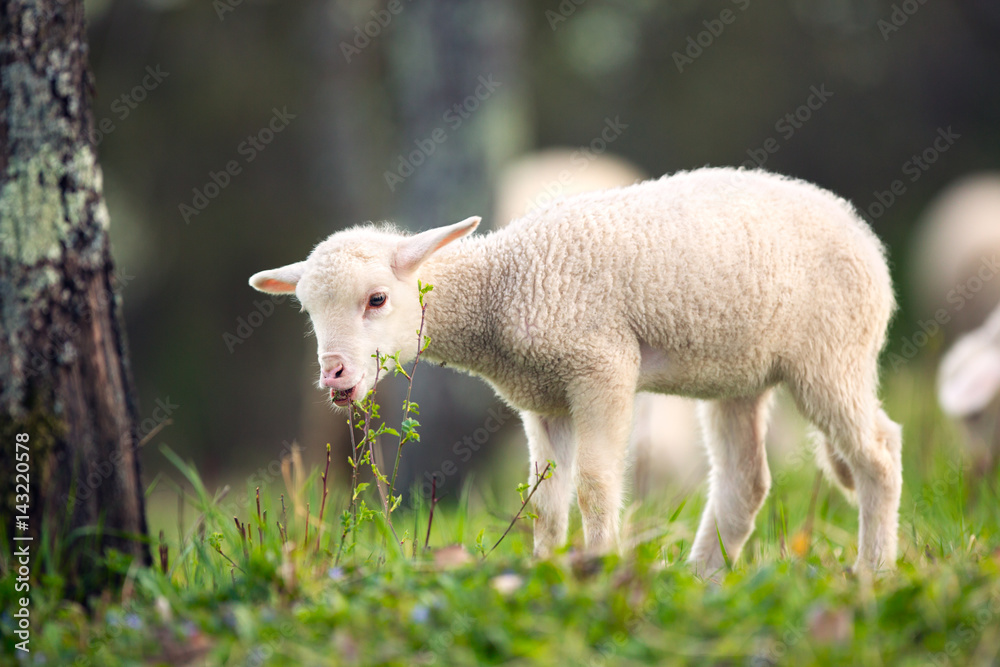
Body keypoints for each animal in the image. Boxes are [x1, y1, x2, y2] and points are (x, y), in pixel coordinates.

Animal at [252, 167, 908, 576]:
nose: (335, 377)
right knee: (745, 482)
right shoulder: (544, 399)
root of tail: (861, 230)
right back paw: (702, 576)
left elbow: (594, 483)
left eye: (377, 300)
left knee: (878, 450)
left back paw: (872, 569)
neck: (501, 286)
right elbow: (545, 500)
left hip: (832, 353)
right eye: (309, 312)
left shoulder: (602, 366)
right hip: (738, 375)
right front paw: (545, 568)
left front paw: (600, 565)